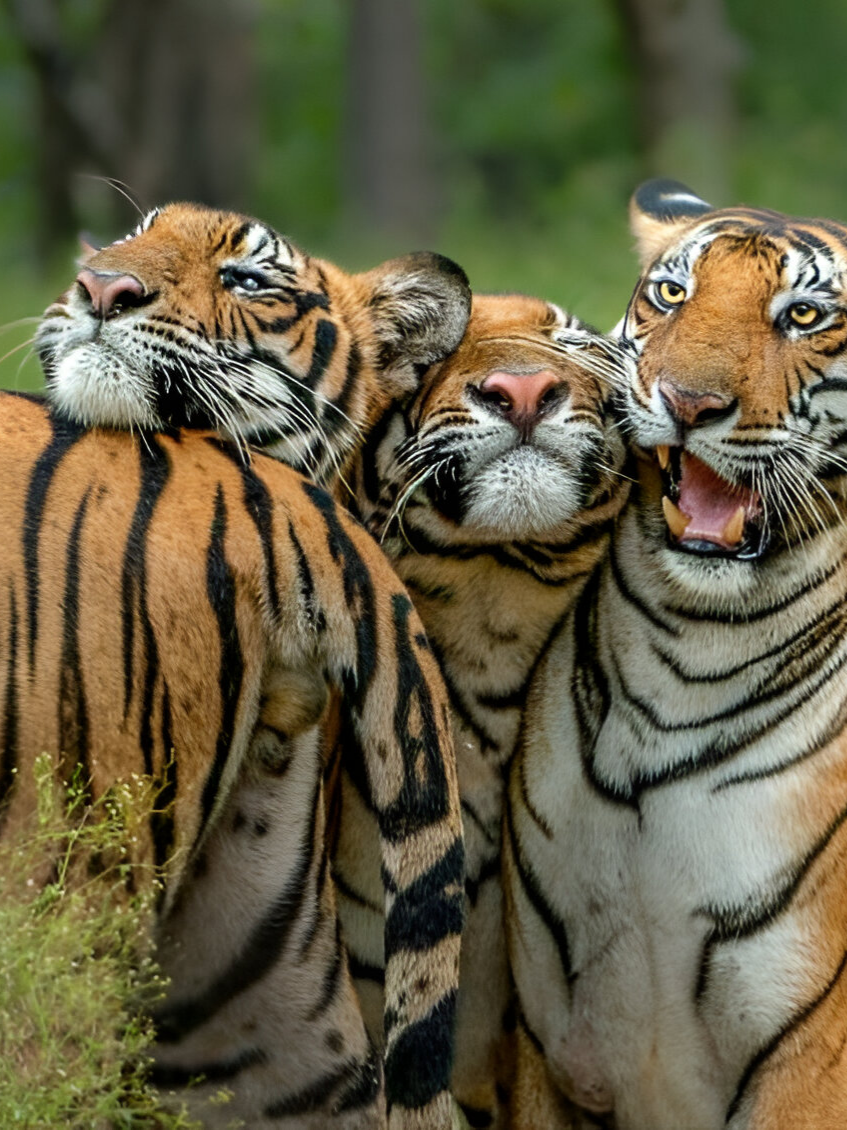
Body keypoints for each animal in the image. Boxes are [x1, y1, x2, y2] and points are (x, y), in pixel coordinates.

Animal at [504, 178, 847, 1130]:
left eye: (803, 315)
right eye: (670, 294)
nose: (687, 403)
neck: (688, 652)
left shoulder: (809, 1064)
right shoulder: (548, 1050)